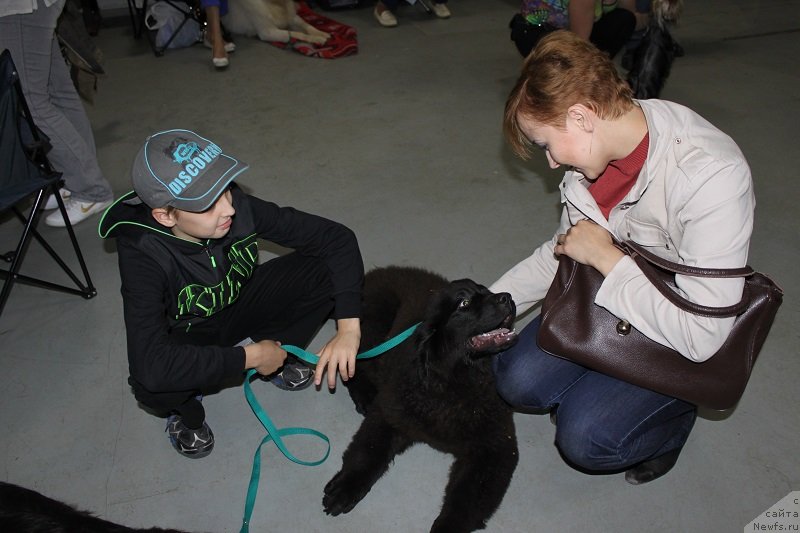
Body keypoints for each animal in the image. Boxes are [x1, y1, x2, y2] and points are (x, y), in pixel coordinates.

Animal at [324, 266, 520, 532]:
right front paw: (346, 486)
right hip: (369, 332)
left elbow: (465, 500)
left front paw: (446, 527)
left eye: (487, 291)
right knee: (350, 364)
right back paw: (365, 394)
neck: (453, 382)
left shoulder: (494, 448)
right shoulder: (390, 413)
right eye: (464, 303)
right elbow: (367, 452)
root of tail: (371, 275)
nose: (507, 297)